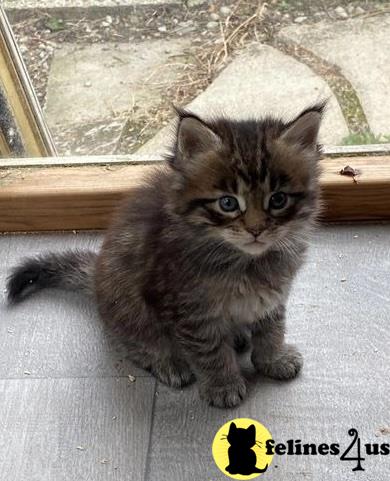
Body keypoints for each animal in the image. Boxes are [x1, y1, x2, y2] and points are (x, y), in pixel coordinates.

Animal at [6, 104, 322, 404]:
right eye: (228, 203)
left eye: (278, 200)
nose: (256, 230)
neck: (246, 262)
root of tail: (96, 277)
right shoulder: (188, 311)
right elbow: (210, 352)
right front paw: (223, 385)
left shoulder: (272, 297)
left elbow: (272, 330)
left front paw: (273, 359)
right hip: (128, 307)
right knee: (133, 342)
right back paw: (168, 363)